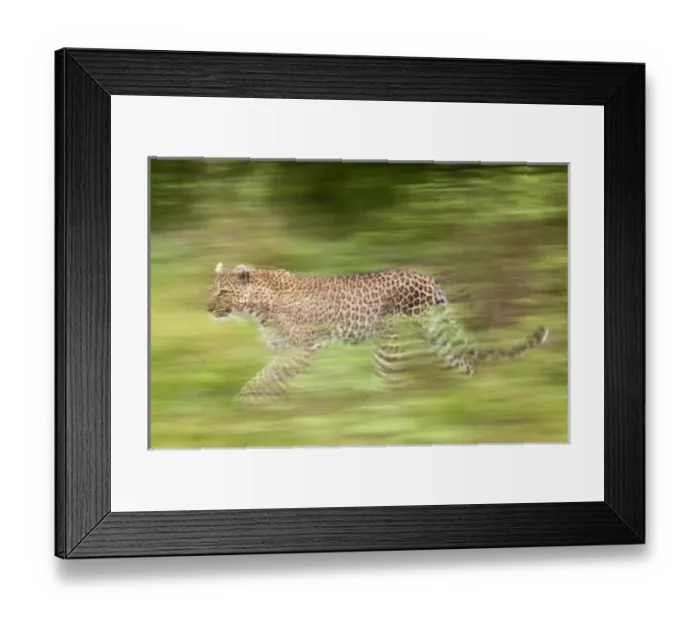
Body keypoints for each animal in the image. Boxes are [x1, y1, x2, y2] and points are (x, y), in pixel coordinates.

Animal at [207, 262, 549, 404]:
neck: (257, 308)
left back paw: (376, 411)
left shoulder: (300, 351)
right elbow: (272, 378)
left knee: (390, 380)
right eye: (212, 290)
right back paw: (466, 397)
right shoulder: (285, 352)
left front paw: (242, 405)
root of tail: (428, 278)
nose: (207, 308)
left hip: (390, 338)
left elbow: (263, 378)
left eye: (223, 292)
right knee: (463, 363)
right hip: (434, 332)